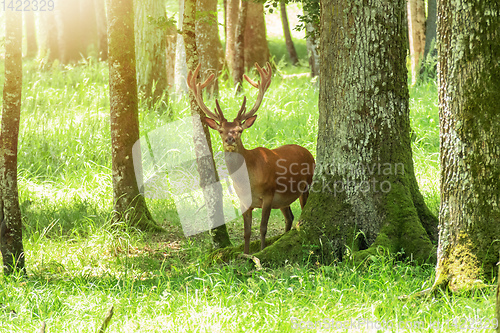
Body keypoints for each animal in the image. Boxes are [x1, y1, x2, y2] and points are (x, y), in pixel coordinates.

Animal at [186, 62, 314, 253]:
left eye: (239, 130)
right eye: (221, 130)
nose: (230, 139)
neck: (247, 182)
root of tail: (308, 152)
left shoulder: (268, 194)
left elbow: (262, 228)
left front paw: (261, 251)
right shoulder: (243, 200)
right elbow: (247, 231)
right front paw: (246, 254)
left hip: (306, 185)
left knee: (300, 211)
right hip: (284, 199)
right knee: (289, 217)